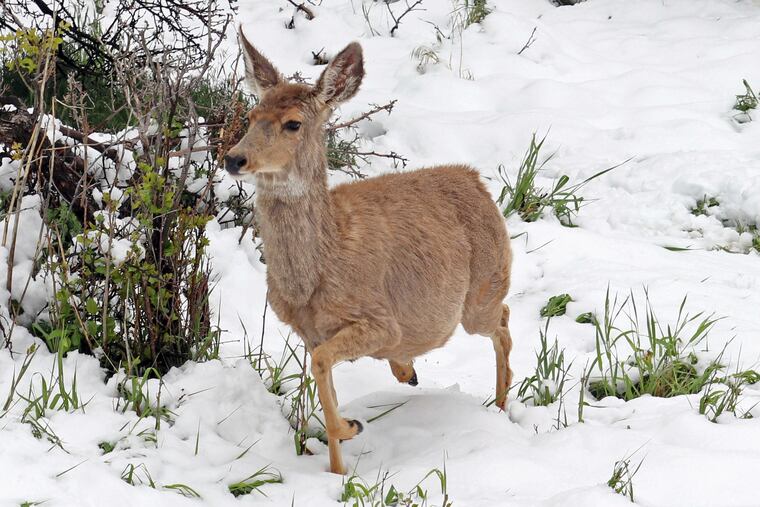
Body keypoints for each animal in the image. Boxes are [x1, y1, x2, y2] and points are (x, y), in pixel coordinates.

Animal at [224, 30, 514, 475]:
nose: (234, 158)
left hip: (482, 291)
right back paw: (410, 371)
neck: (317, 270)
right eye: (252, 116)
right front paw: (338, 468)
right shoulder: (310, 334)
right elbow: (322, 376)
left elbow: (323, 365)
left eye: (293, 123)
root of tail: (475, 180)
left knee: (503, 320)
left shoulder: (380, 320)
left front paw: (349, 427)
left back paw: (499, 406)